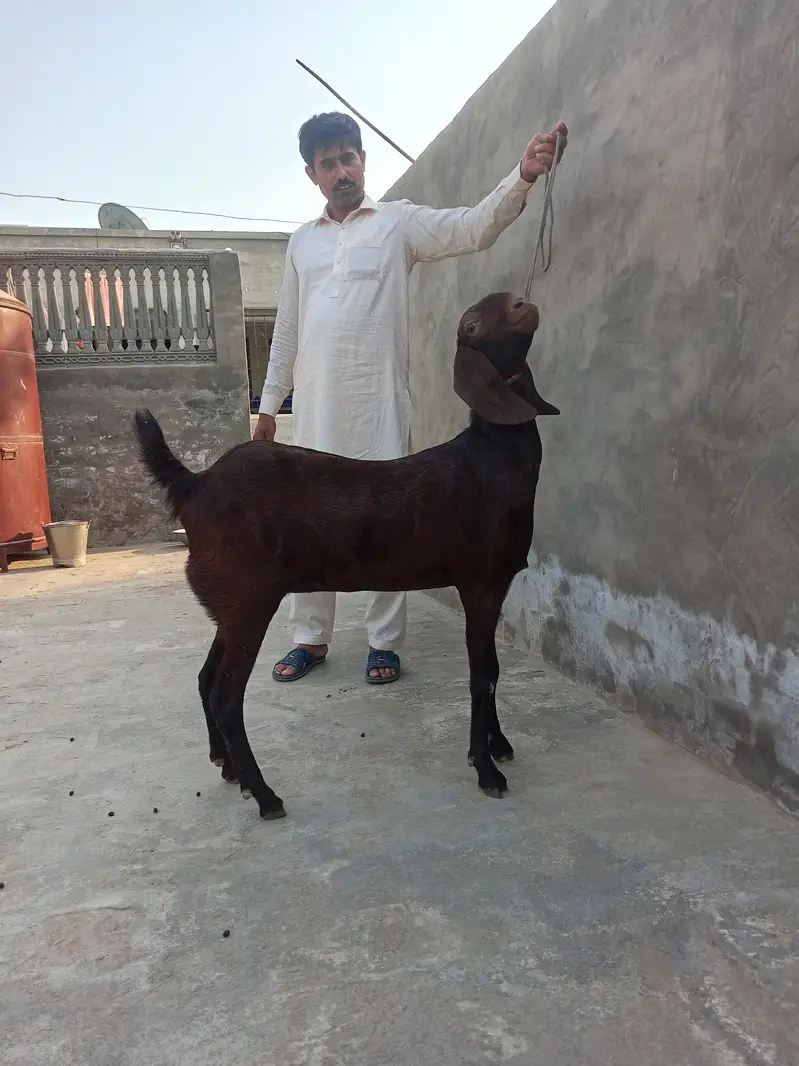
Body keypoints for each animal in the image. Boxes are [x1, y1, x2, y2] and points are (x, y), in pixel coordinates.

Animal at [133, 292, 559, 820]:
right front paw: (486, 769)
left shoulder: (495, 586)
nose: (524, 302)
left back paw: (230, 769)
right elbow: (482, 677)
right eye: (473, 324)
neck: (490, 460)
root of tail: (194, 485)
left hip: (229, 602)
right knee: (226, 696)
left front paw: (498, 745)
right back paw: (266, 795)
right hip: (250, 598)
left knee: (206, 677)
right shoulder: (479, 581)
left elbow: (495, 671)